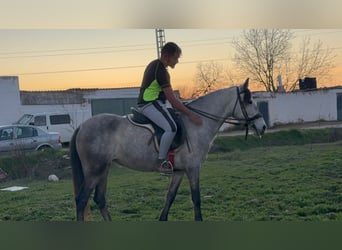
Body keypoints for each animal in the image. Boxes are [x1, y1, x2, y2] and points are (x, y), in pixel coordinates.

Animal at [70, 79, 268, 221]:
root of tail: (82, 125)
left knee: (99, 199)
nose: (263, 126)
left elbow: (170, 196)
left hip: (104, 169)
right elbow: (196, 198)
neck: (196, 123)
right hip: (94, 171)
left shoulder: (179, 171)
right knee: (81, 200)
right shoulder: (193, 168)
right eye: (249, 101)